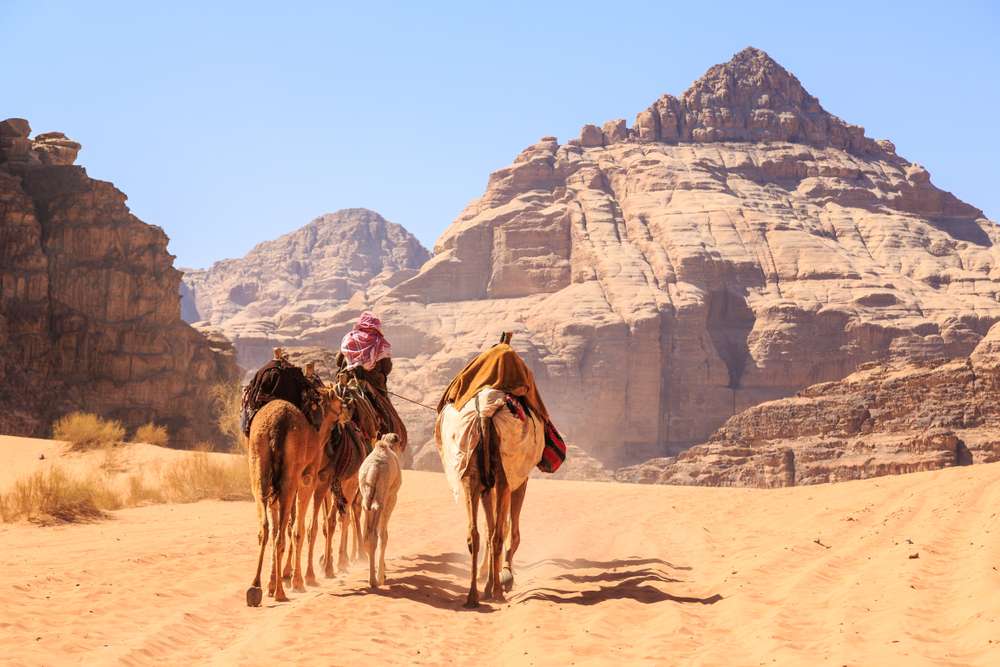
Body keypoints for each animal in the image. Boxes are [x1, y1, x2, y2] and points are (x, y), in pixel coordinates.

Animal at [245, 385, 349, 606]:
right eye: (338, 401)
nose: (347, 410)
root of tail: (276, 425)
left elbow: (280, 528)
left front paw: (272, 583)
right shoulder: (308, 480)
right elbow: (301, 530)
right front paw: (300, 580)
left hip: (258, 470)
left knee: (265, 529)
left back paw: (255, 588)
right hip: (289, 479)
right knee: (282, 535)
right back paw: (280, 592)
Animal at [359, 433, 404, 588]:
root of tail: (373, 469)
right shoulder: (392, 496)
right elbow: (384, 535)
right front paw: (383, 575)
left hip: (365, 498)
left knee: (366, 536)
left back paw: (372, 578)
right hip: (382, 497)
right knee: (375, 535)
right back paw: (375, 580)